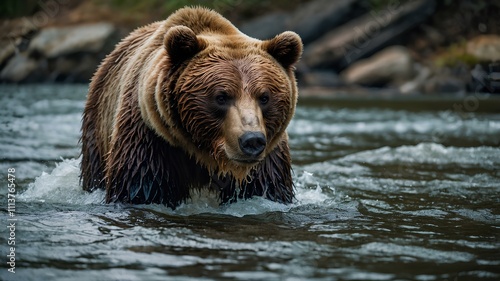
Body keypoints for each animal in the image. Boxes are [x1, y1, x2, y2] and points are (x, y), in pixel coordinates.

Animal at [80, 7, 302, 208]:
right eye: (221, 97)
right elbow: (141, 188)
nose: (252, 140)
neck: (207, 157)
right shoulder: (149, 141)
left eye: (264, 97)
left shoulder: (267, 161)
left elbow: (266, 188)